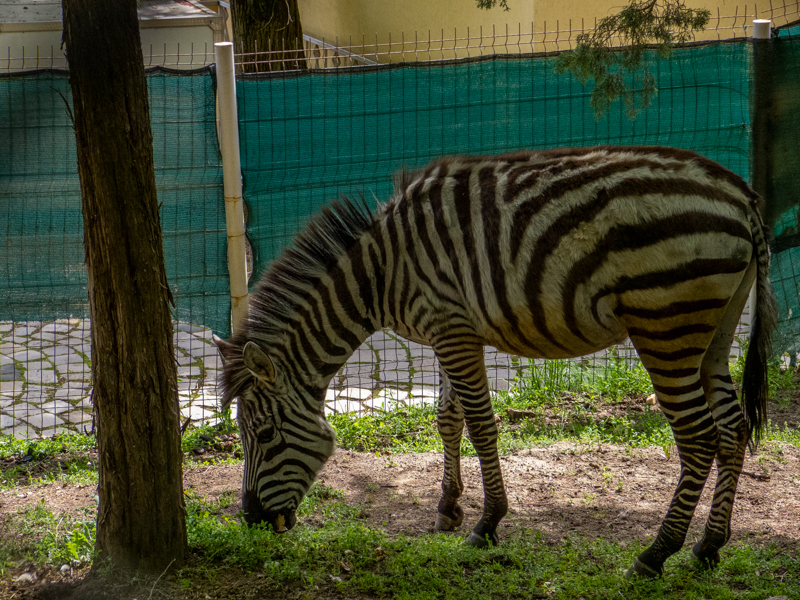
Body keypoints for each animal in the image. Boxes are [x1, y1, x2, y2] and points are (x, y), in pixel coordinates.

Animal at [213, 145, 776, 577]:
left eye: (263, 434)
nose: (251, 521)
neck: (380, 273)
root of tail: (743, 196)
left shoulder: (452, 330)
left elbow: (481, 425)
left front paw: (488, 524)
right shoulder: (450, 329)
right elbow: (448, 418)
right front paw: (448, 510)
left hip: (666, 324)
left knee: (698, 437)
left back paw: (656, 554)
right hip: (715, 329)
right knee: (732, 427)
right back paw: (708, 548)